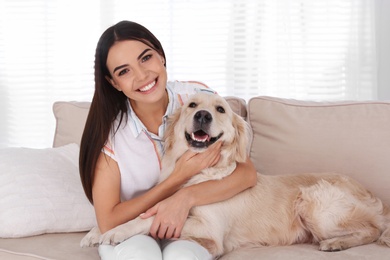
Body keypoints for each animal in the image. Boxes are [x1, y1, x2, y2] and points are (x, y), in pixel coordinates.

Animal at [80, 92, 390, 256]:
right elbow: (145, 209)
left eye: (220, 109)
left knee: (374, 229)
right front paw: (96, 231)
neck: (203, 171)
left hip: (314, 201)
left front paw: (116, 231)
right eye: (192, 105)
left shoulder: (210, 231)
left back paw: (336, 242)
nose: (203, 115)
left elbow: (149, 218)